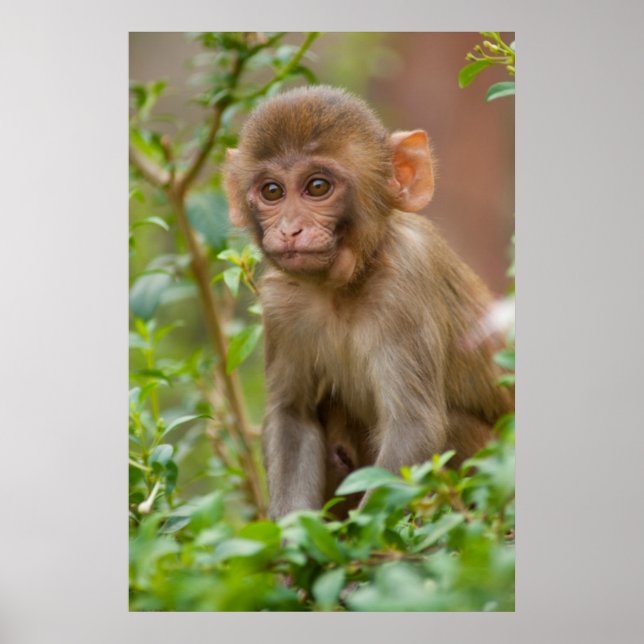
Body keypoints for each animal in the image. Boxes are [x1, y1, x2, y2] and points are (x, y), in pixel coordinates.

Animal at [224, 85, 513, 518]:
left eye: (317, 187)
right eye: (272, 191)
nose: (290, 230)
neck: (343, 286)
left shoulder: (405, 283)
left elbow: (414, 429)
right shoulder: (280, 304)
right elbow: (293, 416)